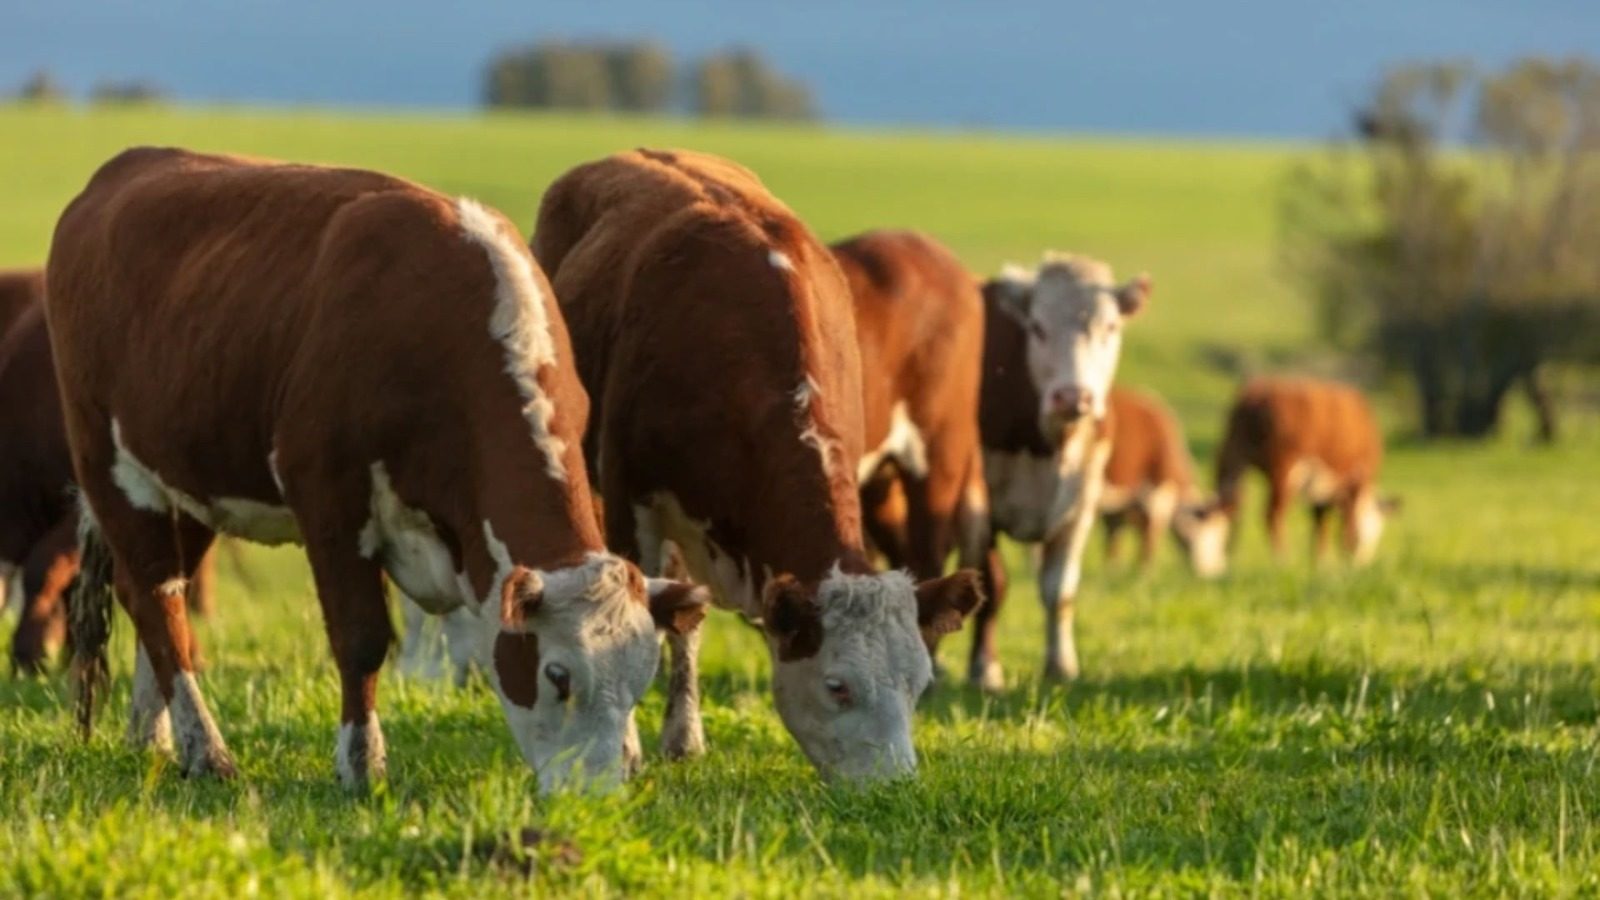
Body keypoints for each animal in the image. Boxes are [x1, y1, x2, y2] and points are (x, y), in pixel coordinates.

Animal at [47, 147, 704, 793]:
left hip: (191, 479)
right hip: (109, 464)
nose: (599, 794)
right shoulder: (330, 500)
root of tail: (125, 168)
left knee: (163, 598)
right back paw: (206, 749)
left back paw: (155, 735)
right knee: (154, 596)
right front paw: (363, 764)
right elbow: (361, 640)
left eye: (640, 681)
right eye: (558, 675)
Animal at [970, 254, 1150, 688]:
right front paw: (985, 669)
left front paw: (1062, 665)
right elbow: (989, 586)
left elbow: (1060, 591)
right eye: (1037, 327)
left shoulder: (1080, 505)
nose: (1073, 396)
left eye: (1111, 327)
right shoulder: (980, 504)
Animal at [1099, 386, 1228, 577]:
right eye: (1220, 535)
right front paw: (1145, 572)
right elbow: (1150, 535)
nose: (1218, 570)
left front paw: (1112, 570)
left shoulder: (1119, 505)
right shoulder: (1155, 493)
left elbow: (1113, 535)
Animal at [1213, 376, 1396, 565]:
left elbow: (1320, 521)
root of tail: (1257, 390)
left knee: (1231, 505)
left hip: (1232, 456)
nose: (1360, 564)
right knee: (1272, 514)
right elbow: (1335, 519)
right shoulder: (1351, 482)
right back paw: (1282, 558)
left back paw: (1227, 557)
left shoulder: (1324, 488)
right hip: (1284, 469)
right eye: (1363, 535)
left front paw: (1319, 560)